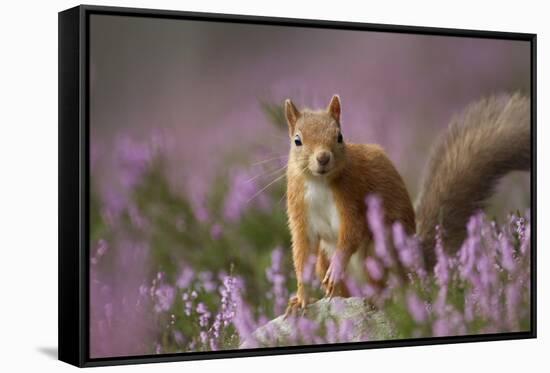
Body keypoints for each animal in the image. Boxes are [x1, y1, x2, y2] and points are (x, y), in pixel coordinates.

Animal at [284, 93, 532, 314]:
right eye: (297, 140)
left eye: (339, 136)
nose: (323, 157)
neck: (319, 182)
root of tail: (412, 259)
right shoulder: (300, 210)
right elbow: (303, 252)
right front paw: (301, 298)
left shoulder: (353, 196)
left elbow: (352, 232)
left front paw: (336, 268)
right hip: (325, 259)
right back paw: (338, 296)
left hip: (378, 252)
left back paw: (378, 298)